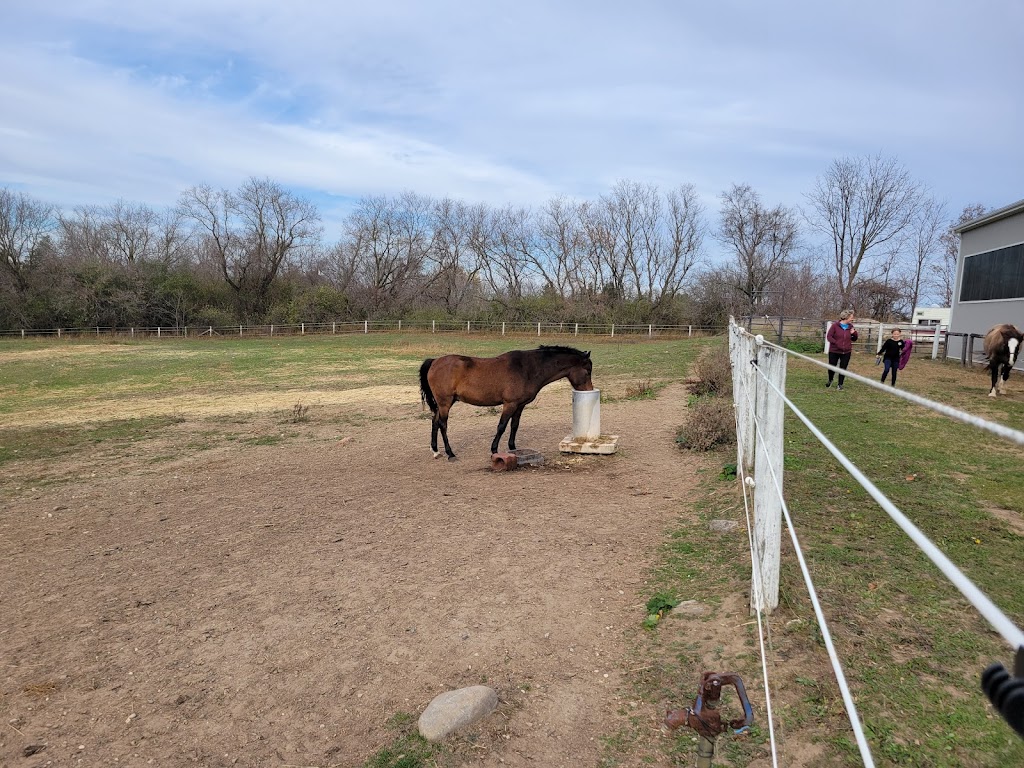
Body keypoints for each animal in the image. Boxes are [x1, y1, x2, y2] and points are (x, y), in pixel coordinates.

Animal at [415, 346, 593, 460]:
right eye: (588, 371)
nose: (590, 390)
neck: (527, 368)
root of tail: (435, 361)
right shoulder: (510, 404)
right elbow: (501, 426)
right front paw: (494, 449)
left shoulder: (520, 405)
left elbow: (514, 425)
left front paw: (513, 447)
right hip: (445, 403)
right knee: (442, 424)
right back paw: (450, 453)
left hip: (444, 403)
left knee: (435, 422)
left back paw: (436, 451)